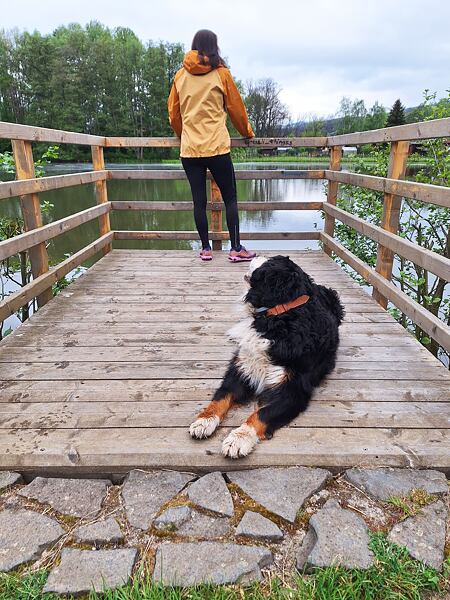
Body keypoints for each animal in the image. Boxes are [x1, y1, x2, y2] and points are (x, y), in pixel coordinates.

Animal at [188, 255, 342, 458]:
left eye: (271, 262)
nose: (255, 255)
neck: (278, 318)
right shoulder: (242, 368)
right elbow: (220, 398)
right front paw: (204, 421)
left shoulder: (291, 390)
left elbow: (260, 414)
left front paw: (239, 438)